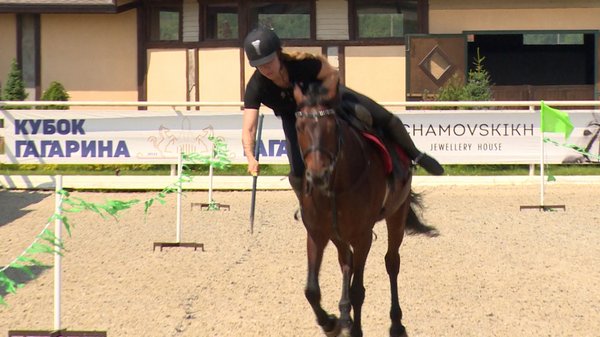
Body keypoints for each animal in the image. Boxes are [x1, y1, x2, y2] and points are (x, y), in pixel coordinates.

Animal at [292, 82, 428, 336]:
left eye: (332, 126)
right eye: (299, 127)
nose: (318, 175)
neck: (335, 186)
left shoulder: (363, 237)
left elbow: (358, 290)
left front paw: (354, 327)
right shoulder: (317, 234)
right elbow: (311, 290)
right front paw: (330, 322)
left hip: (397, 214)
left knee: (391, 262)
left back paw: (396, 323)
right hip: (338, 235)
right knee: (346, 261)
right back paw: (345, 314)